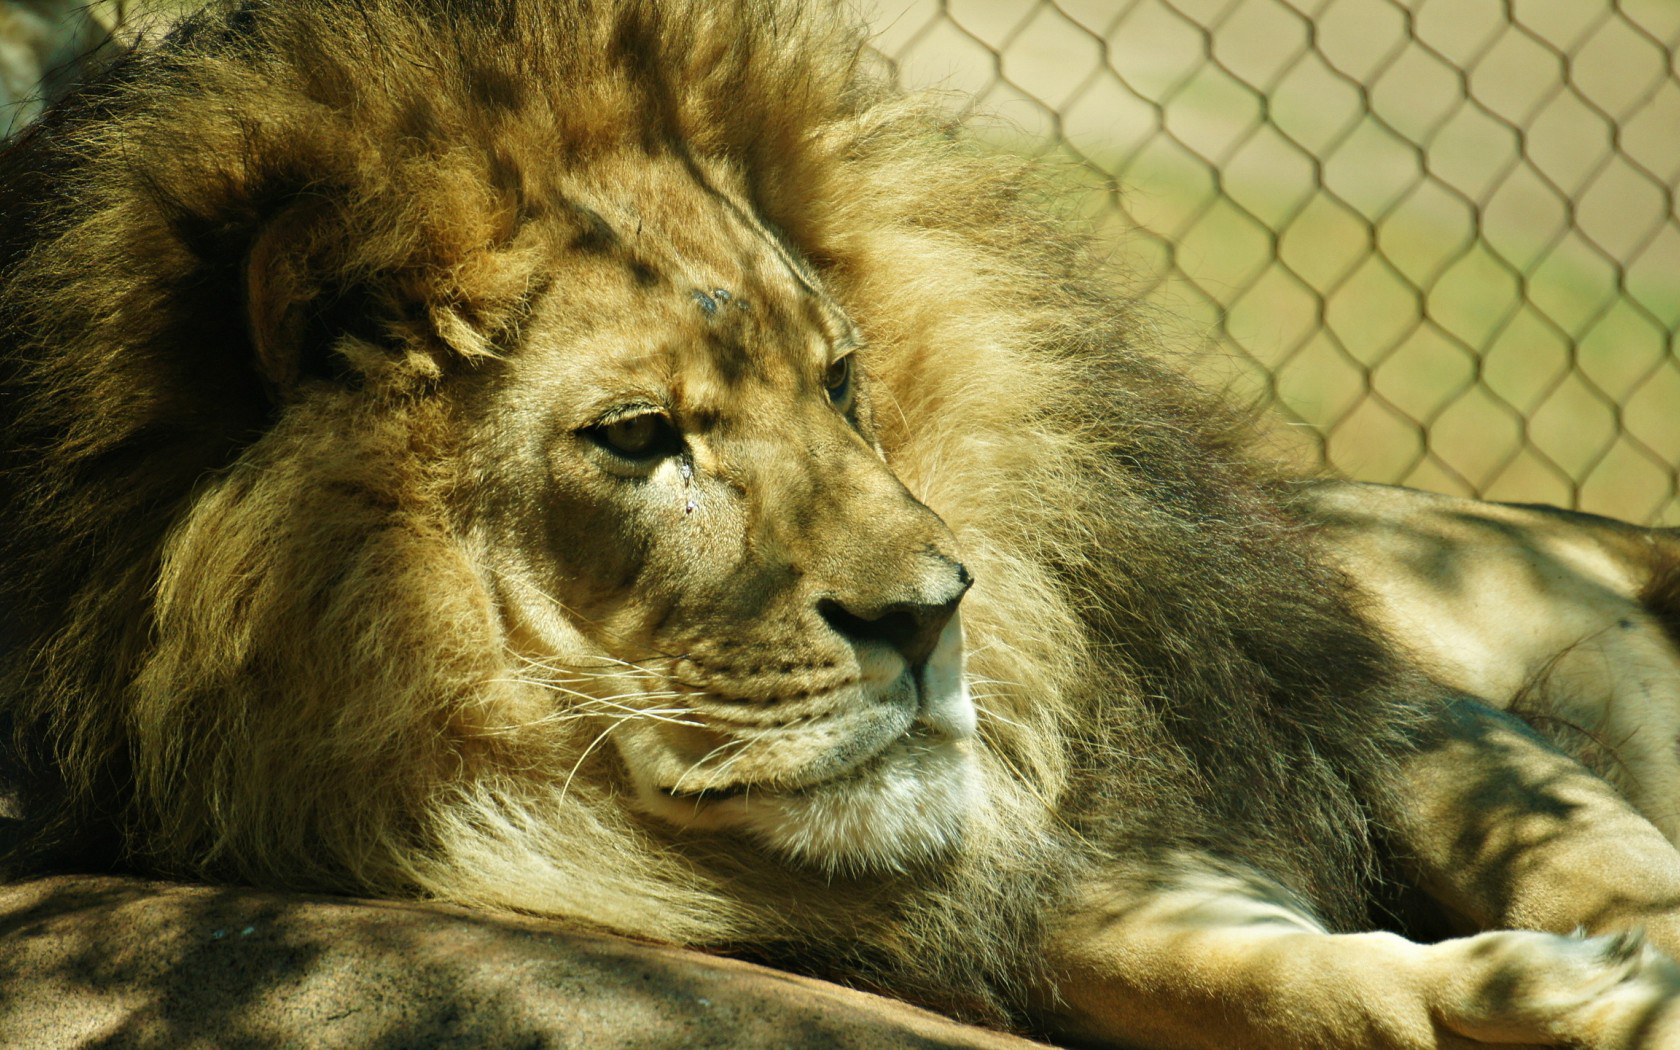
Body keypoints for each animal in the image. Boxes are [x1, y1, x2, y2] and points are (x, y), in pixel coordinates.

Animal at [6, 0, 1680, 1041]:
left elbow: (1581, 851)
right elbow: (1231, 971)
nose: (939, 614)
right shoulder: (1025, 905)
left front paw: (1627, 964)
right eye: (641, 438)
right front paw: (1520, 995)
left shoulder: (1374, 697)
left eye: (840, 379)